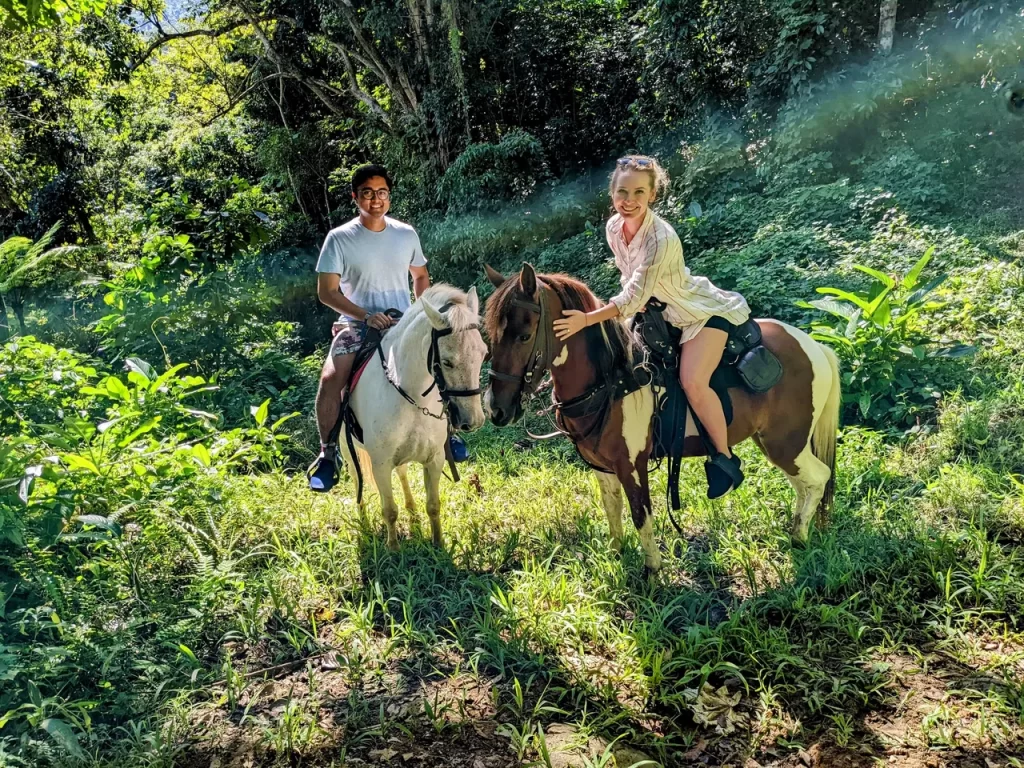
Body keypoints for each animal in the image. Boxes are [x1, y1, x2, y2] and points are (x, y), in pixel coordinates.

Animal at [339, 286, 487, 548]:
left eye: (484, 355)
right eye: (447, 362)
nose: (473, 421)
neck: (411, 396)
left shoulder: (435, 459)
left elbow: (434, 505)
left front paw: (438, 544)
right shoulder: (380, 464)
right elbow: (389, 510)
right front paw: (394, 550)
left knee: (402, 473)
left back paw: (412, 512)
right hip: (349, 453)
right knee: (358, 481)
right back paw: (363, 521)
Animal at [481, 264, 839, 573]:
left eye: (524, 335)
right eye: (490, 337)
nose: (497, 409)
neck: (613, 378)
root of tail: (814, 346)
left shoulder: (632, 465)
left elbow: (641, 516)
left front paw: (653, 571)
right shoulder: (602, 468)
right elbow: (613, 509)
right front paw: (617, 553)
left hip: (785, 443)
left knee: (817, 478)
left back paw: (799, 536)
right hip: (775, 443)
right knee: (804, 484)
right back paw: (796, 528)